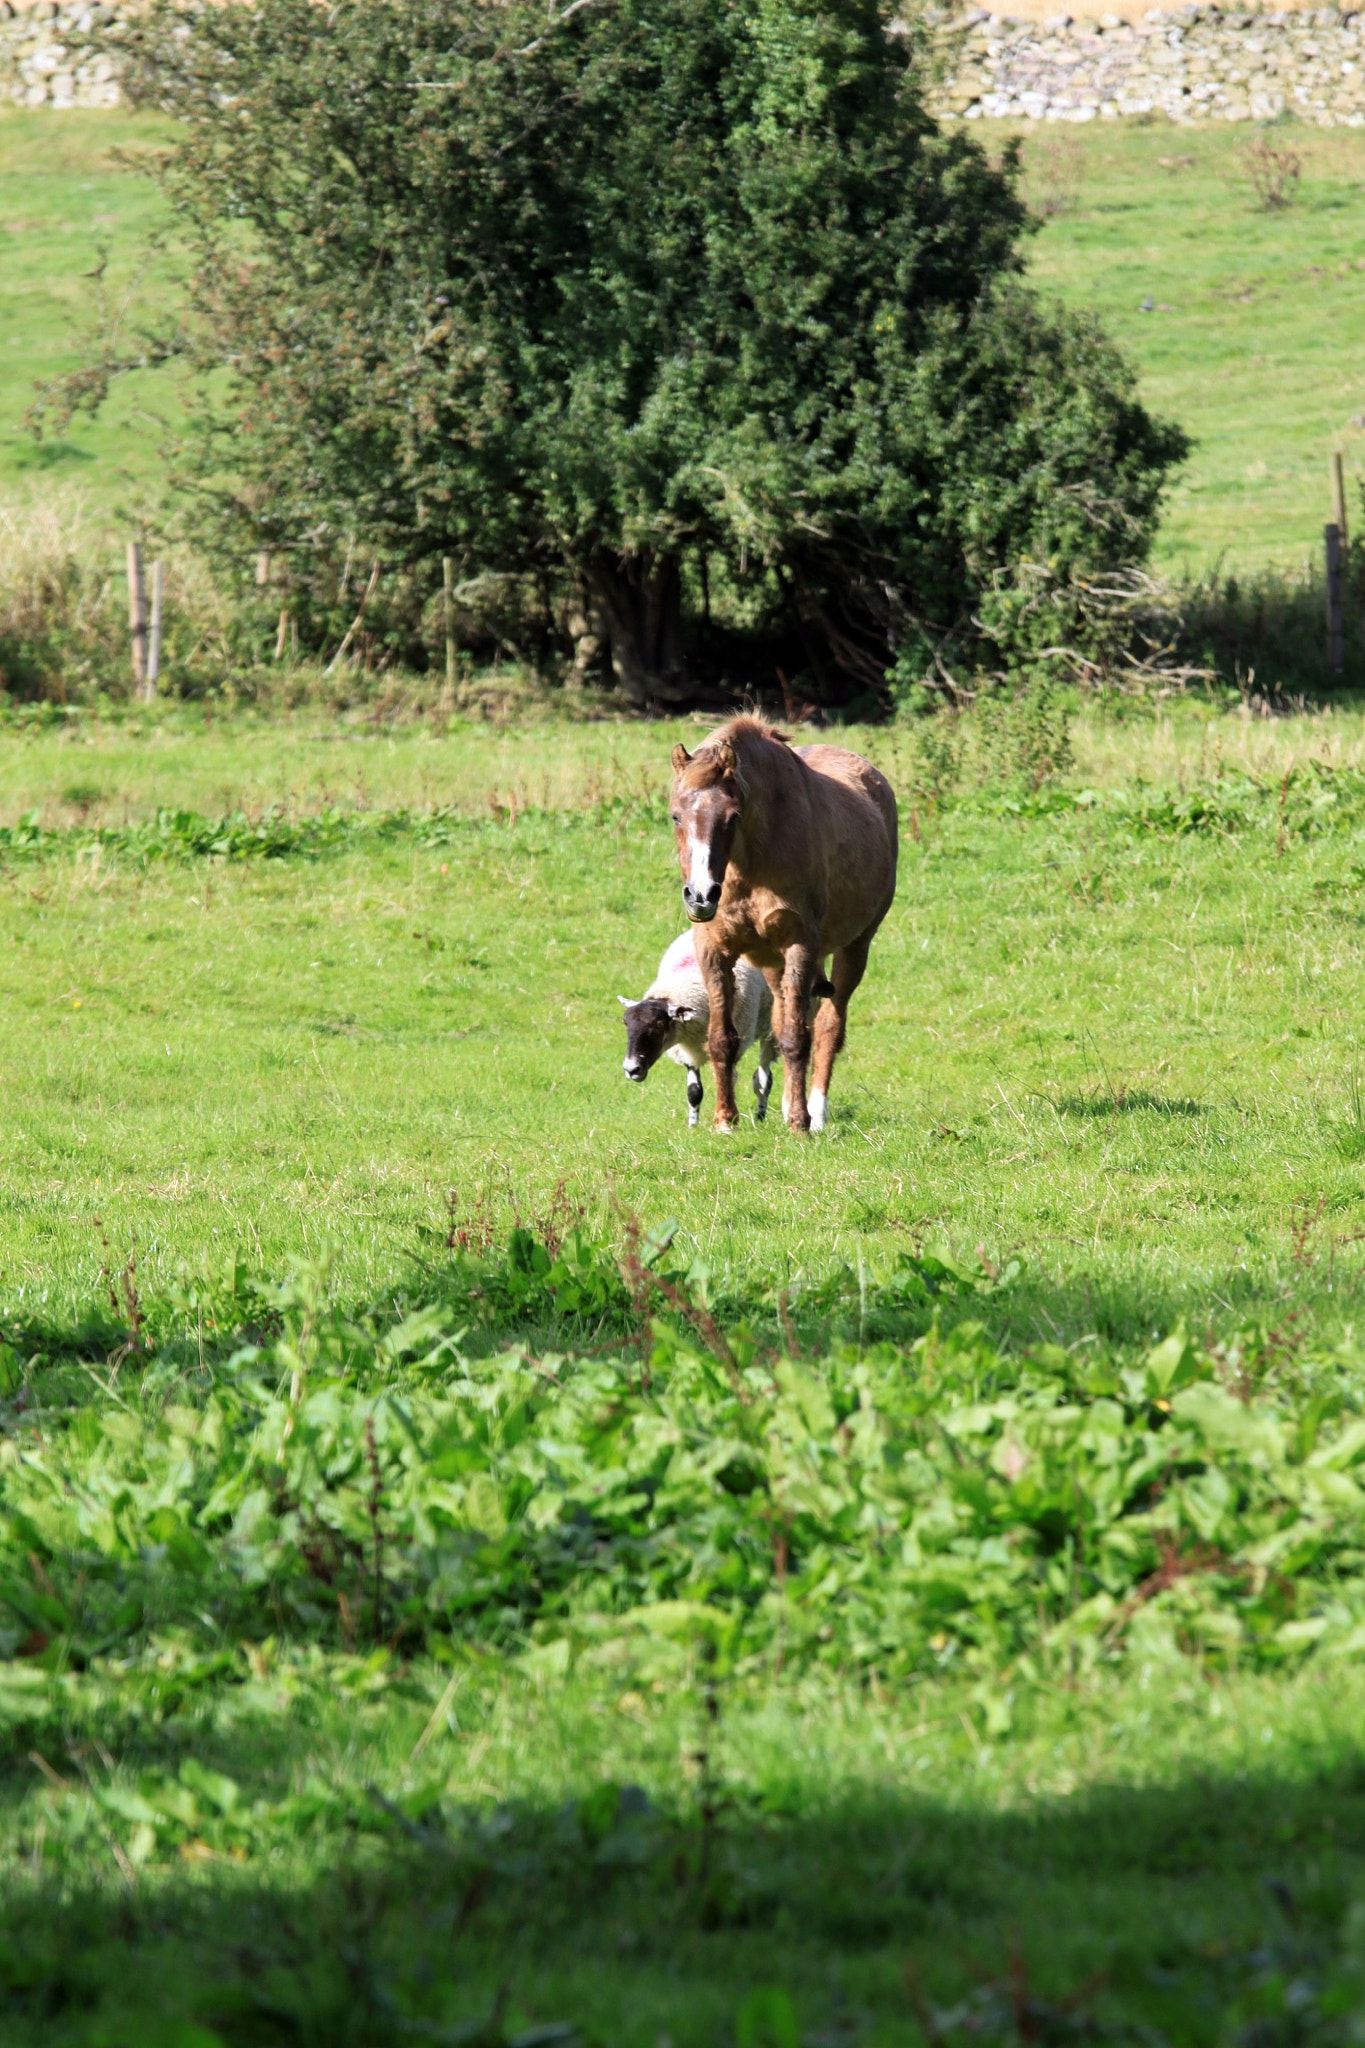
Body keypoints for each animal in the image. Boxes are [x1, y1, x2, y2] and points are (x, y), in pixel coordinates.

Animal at [671, 720, 896, 1138]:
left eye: (732, 816)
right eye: (676, 816)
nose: (701, 895)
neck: (751, 863)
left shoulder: (800, 945)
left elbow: (797, 1038)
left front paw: (799, 1124)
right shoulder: (714, 950)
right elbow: (723, 1039)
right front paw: (725, 1121)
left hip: (855, 948)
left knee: (827, 1027)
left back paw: (815, 1111)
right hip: (774, 966)